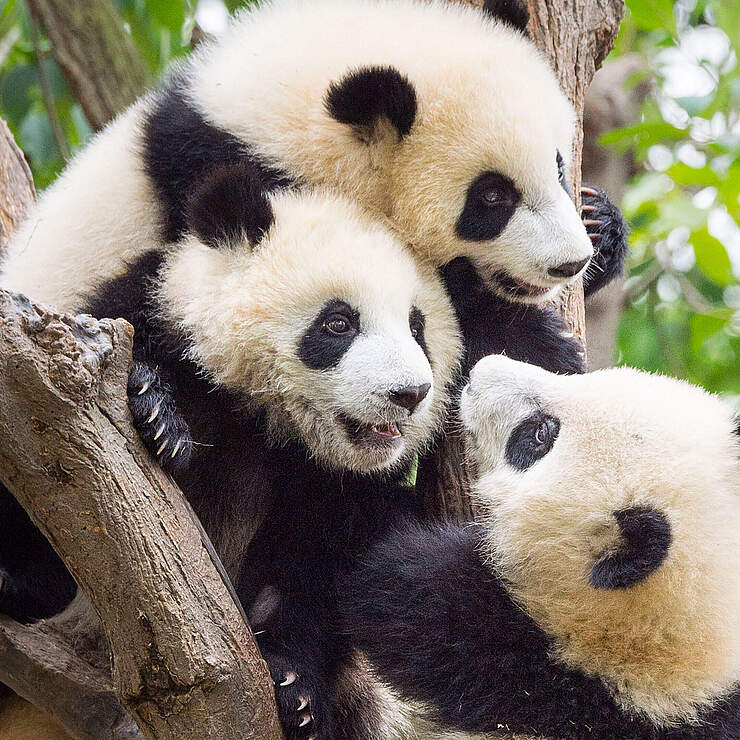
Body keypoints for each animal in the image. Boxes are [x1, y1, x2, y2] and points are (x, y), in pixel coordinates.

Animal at [0, 0, 627, 378]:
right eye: (492, 198)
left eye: (560, 167)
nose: (569, 263)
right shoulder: (228, 179)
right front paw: (536, 343)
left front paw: (601, 227)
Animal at [0, 163, 461, 739]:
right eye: (339, 323)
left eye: (418, 327)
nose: (410, 394)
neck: (265, 418)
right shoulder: (144, 317)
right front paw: (157, 414)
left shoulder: (342, 486)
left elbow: (321, 573)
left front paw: (296, 689)